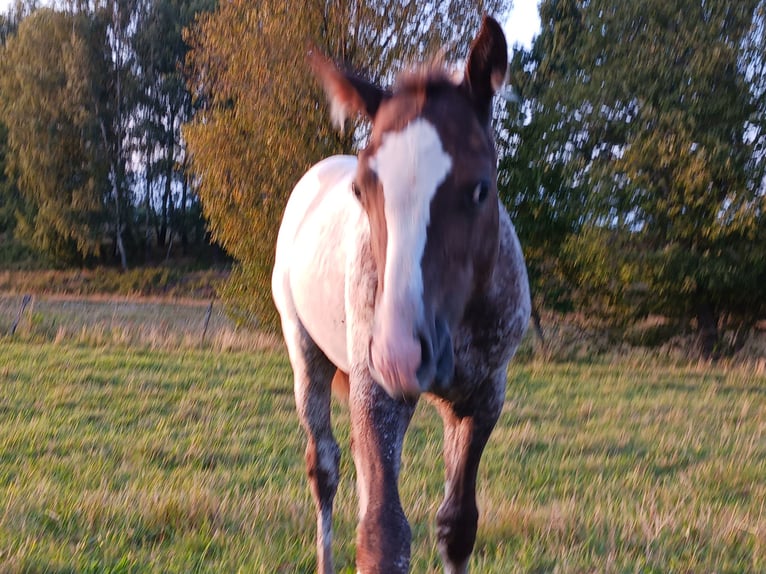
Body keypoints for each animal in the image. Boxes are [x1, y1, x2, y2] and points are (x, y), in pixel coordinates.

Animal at [272, 15, 532, 572]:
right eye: (361, 189)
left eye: (480, 188)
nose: (401, 355)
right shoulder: (378, 391)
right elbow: (383, 536)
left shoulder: (483, 398)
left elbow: (457, 525)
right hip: (307, 353)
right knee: (325, 468)